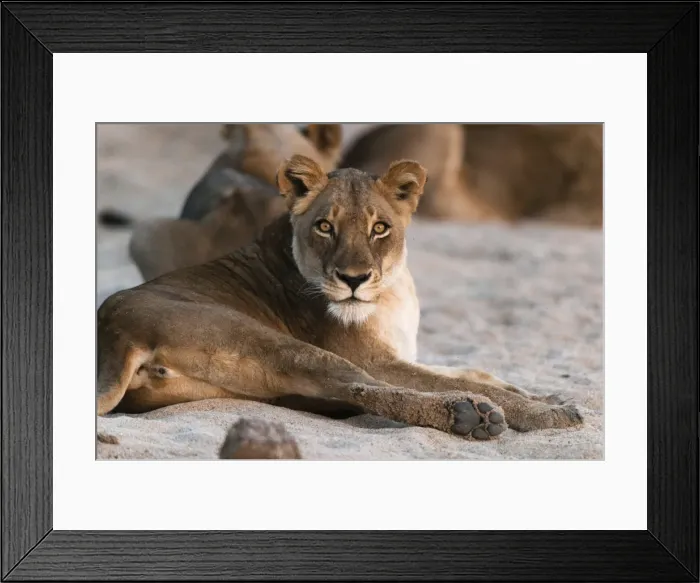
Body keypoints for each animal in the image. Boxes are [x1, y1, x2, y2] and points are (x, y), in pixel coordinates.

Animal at [97, 155, 583, 442]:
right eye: (325, 226)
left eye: (379, 227)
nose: (353, 279)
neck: (393, 291)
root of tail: (115, 333)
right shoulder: (376, 359)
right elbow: (461, 380)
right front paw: (549, 411)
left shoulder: (401, 352)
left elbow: (472, 370)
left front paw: (542, 394)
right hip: (270, 341)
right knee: (362, 388)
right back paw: (469, 415)